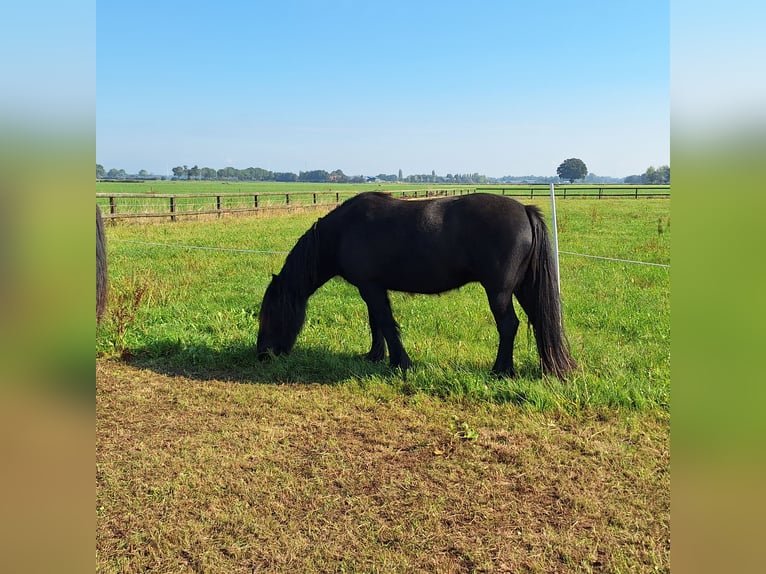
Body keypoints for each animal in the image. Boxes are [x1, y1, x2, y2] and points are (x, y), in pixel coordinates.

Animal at [256, 192, 576, 378]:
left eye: (269, 316)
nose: (262, 355)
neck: (344, 231)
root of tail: (524, 210)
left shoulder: (371, 288)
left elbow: (386, 324)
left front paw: (400, 362)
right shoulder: (372, 288)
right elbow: (376, 324)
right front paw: (375, 356)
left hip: (498, 292)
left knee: (509, 325)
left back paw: (501, 370)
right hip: (522, 288)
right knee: (540, 320)